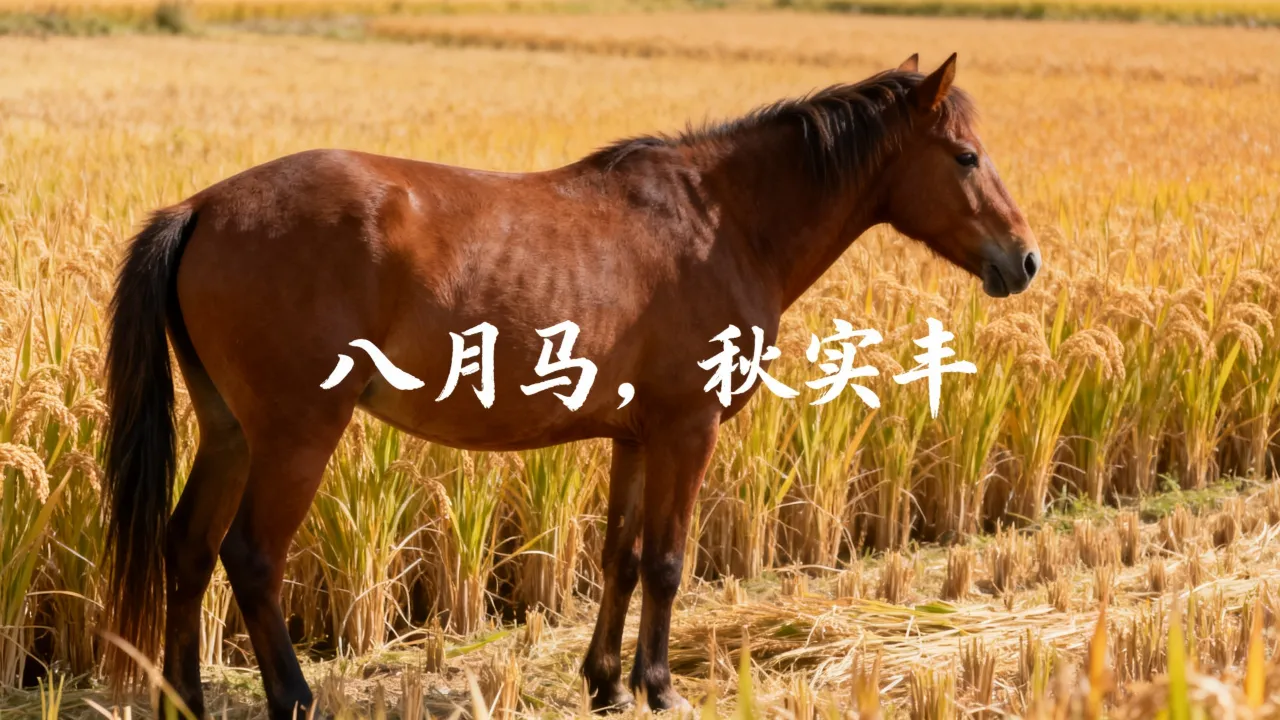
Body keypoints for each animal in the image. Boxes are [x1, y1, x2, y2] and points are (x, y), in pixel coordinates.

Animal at [102, 52, 1040, 717]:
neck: (723, 222)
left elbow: (619, 557)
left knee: (187, 549)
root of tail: (202, 207)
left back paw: (183, 702)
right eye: (966, 156)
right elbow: (666, 560)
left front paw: (607, 682)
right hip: (297, 434)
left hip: (230, 432)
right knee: (251, 557)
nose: (1025, 260)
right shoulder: (687, 432)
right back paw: (296, 700)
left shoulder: (635, 437)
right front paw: (660, 687)